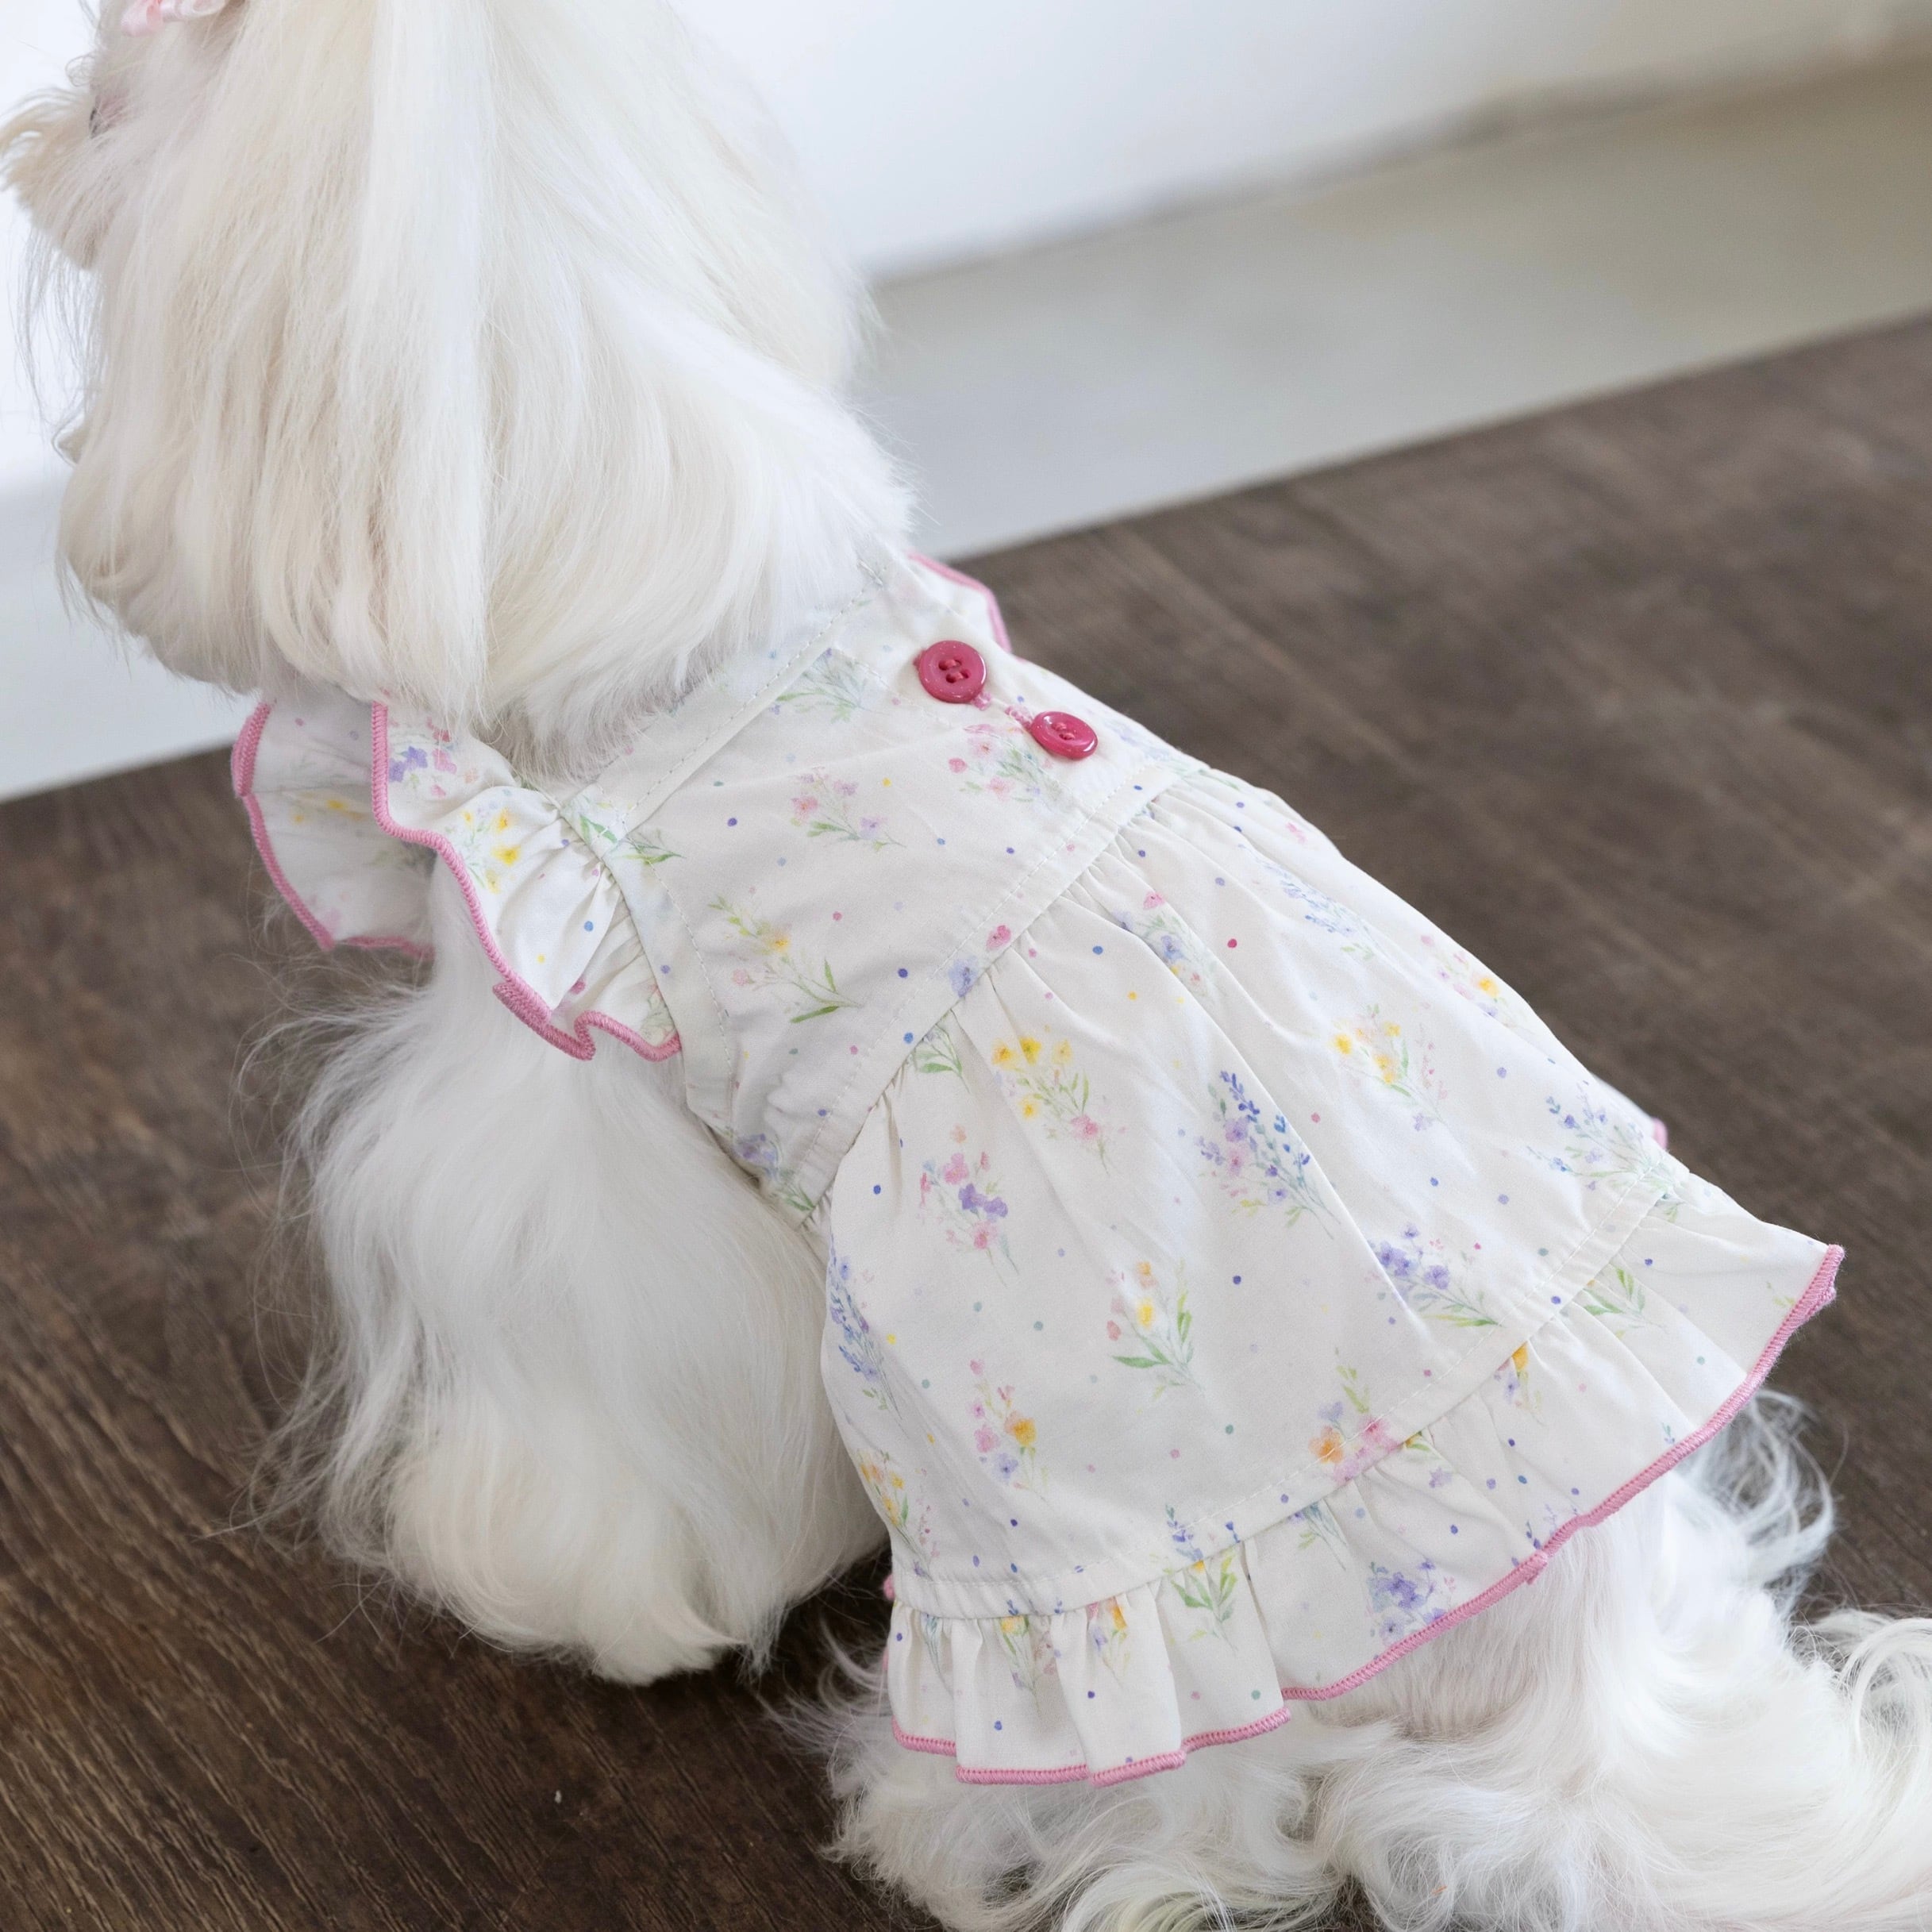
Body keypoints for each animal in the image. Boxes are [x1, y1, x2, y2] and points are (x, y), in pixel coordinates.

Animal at [9, 6, 1932, 1928]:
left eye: (112, 97)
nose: (35, 120)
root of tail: (1579, 1711)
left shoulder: (578, 1135)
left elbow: (590, 1410)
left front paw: (559, 1590)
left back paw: (941, 1818)